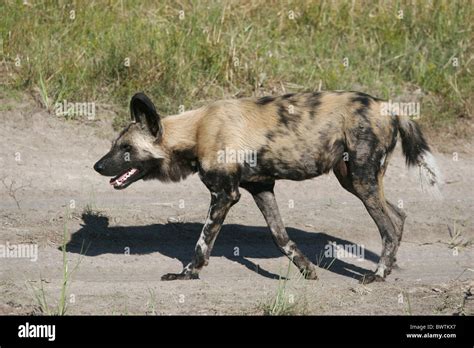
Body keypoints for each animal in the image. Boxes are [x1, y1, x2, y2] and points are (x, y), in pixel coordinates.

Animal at [94, 92, 442, 282]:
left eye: (126, 149)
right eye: (114, 146)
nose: (97, 166)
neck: (196, 131)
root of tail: (390, 108)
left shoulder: (224, 195)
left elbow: (201, 244)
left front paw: (186, 275)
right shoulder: (261, 188)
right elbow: (281, 238)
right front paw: (307, 272)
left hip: (361, 180)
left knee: (389, 227)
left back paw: (377, 276)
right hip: (355, 182)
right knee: (398, 217)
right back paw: (388, 268)